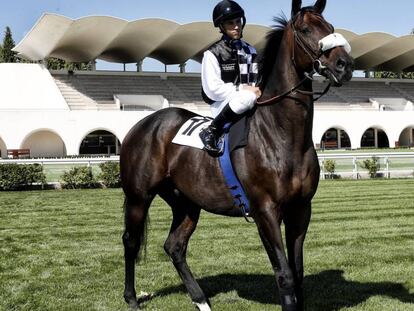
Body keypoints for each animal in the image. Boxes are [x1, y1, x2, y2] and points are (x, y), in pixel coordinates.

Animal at [119, 1, 352, 310]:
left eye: (330, 27)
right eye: (305, 29)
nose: (345, 65)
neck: (281, 136)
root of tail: (143, 124)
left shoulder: (301, 209)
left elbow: (298, 272)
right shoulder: (265, 210)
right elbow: (285, 274)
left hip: (186, 202)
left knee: (175, 246)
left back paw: (201, 299)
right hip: (139, 197)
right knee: (131, 242)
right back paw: (132, 298)